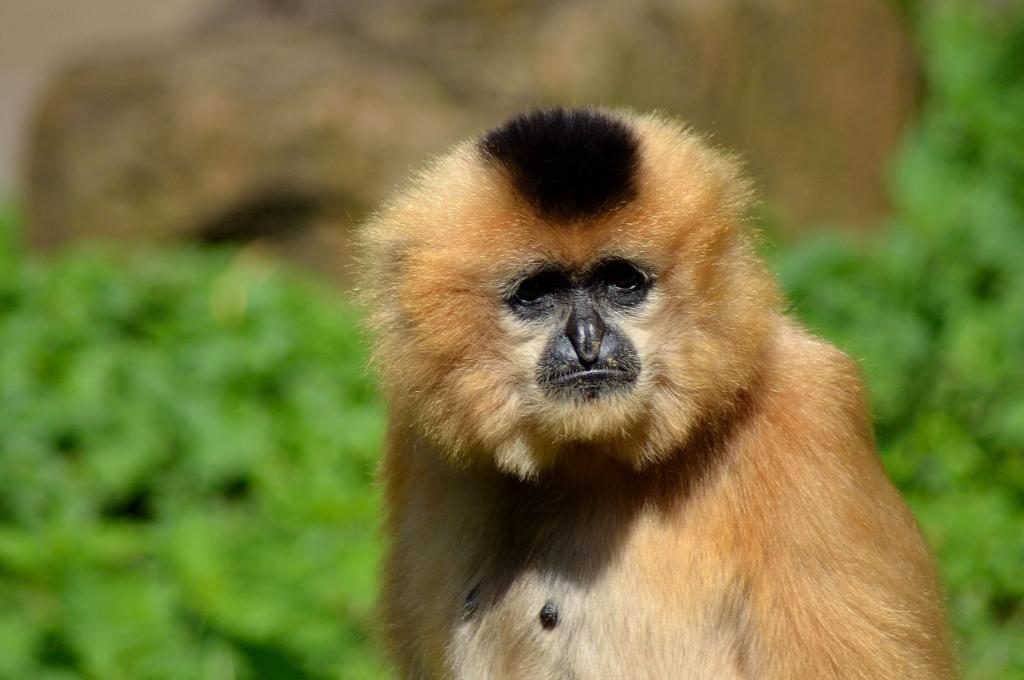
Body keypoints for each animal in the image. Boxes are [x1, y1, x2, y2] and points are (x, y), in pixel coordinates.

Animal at [359, 107, 956, 679]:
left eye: (621, 281)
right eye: (537, 291)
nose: (587, 341)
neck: (591, 461)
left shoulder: (811, 413)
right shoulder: (419, 439)